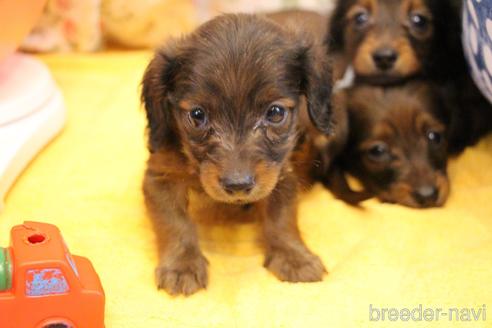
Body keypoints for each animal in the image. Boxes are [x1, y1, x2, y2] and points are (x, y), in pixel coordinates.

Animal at [141, 12, 334, 296]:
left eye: (275, 113)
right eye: (197, 115)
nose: (238, 185)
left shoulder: (280, 175)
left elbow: (282, 219)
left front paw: (293, 256)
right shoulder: (161, 176)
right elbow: (175, 223)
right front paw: (182, 266)